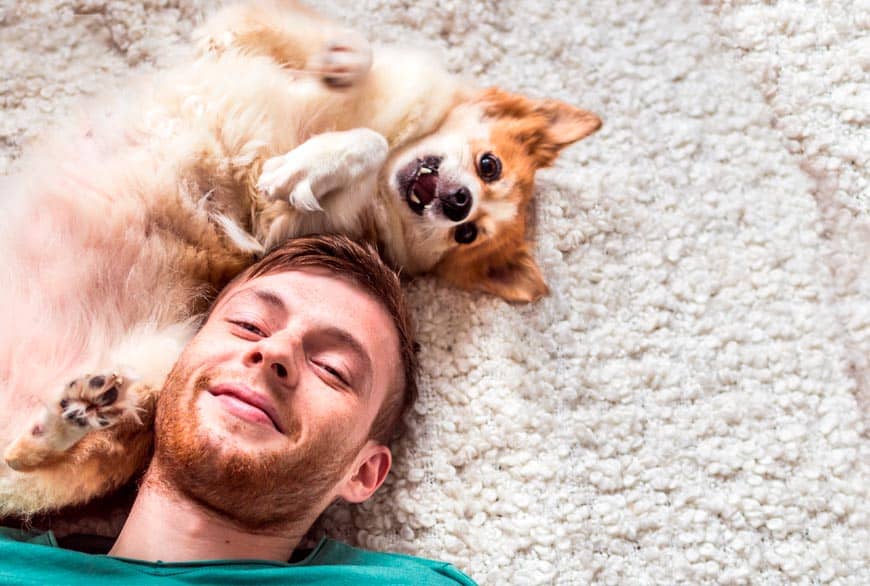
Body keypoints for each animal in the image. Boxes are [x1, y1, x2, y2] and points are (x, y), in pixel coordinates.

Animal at [0, 0, 600, 512]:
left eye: (469, 235)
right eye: (489, 166)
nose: (459, 204)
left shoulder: (284, 226)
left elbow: (350, 152)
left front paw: (311, 162)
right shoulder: (243, 30)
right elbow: (357, 54)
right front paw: (340, 68)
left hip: (163, 361)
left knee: (27, 455)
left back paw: (75, 413)